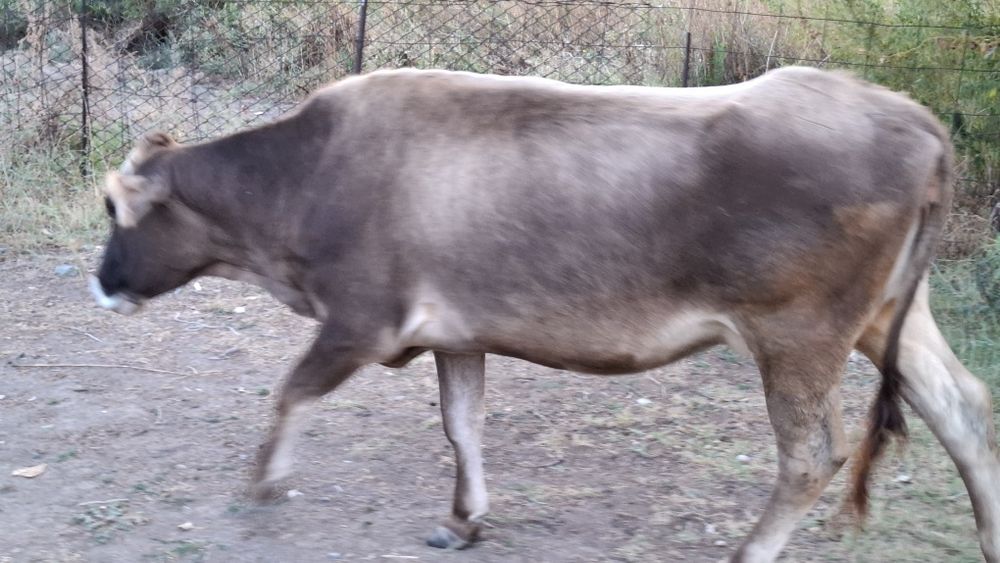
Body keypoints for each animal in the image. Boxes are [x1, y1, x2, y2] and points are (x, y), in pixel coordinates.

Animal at [89, 66, 1000, 562]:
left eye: (111, 209)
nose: (99, 282)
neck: (304, 178)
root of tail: (909, 116)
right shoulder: (454, 331)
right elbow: (462, 423)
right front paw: (464, 519)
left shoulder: (362, 318)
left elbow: (289, 391)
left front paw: (264, 482)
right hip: (889, 314)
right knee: (964, 407)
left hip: (798, 329)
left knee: (812, 453)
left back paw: (750, 548)